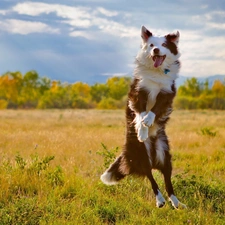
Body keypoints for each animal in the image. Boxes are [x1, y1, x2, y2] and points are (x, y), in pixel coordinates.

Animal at [100, 25, 186, 209]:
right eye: (151, 44)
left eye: (164, 44)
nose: (155, 50)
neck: (156, 72)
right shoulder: (138, 92)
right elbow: (140, 114)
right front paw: (142, 129)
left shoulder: (166, 93)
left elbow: (155, 109)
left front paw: (148, 120)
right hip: (141, 154)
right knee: (151, 177)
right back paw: (160, 200)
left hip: (165, 154)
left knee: (167, 181)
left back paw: (176, 203)